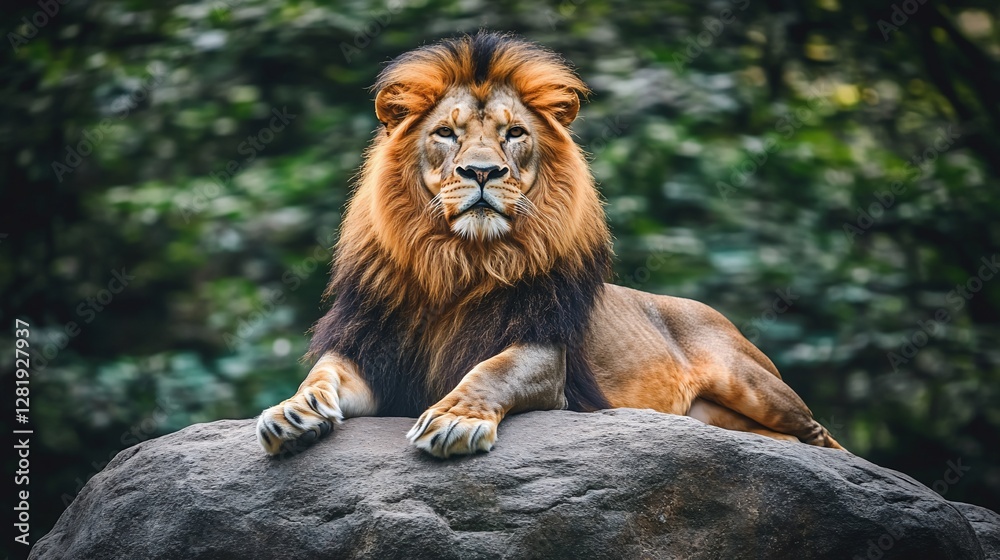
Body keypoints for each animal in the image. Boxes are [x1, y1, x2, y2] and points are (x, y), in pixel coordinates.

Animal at [256, 32, 843, 458]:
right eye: (446, 133)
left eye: (514, 133)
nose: (482, 172)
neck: (459, 263)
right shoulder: (371, 348)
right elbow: (323, 373)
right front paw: (292, 411)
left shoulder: (544, 351)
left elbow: (494, 370)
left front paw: (455, 418)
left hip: (751, 381)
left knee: (818, 435)